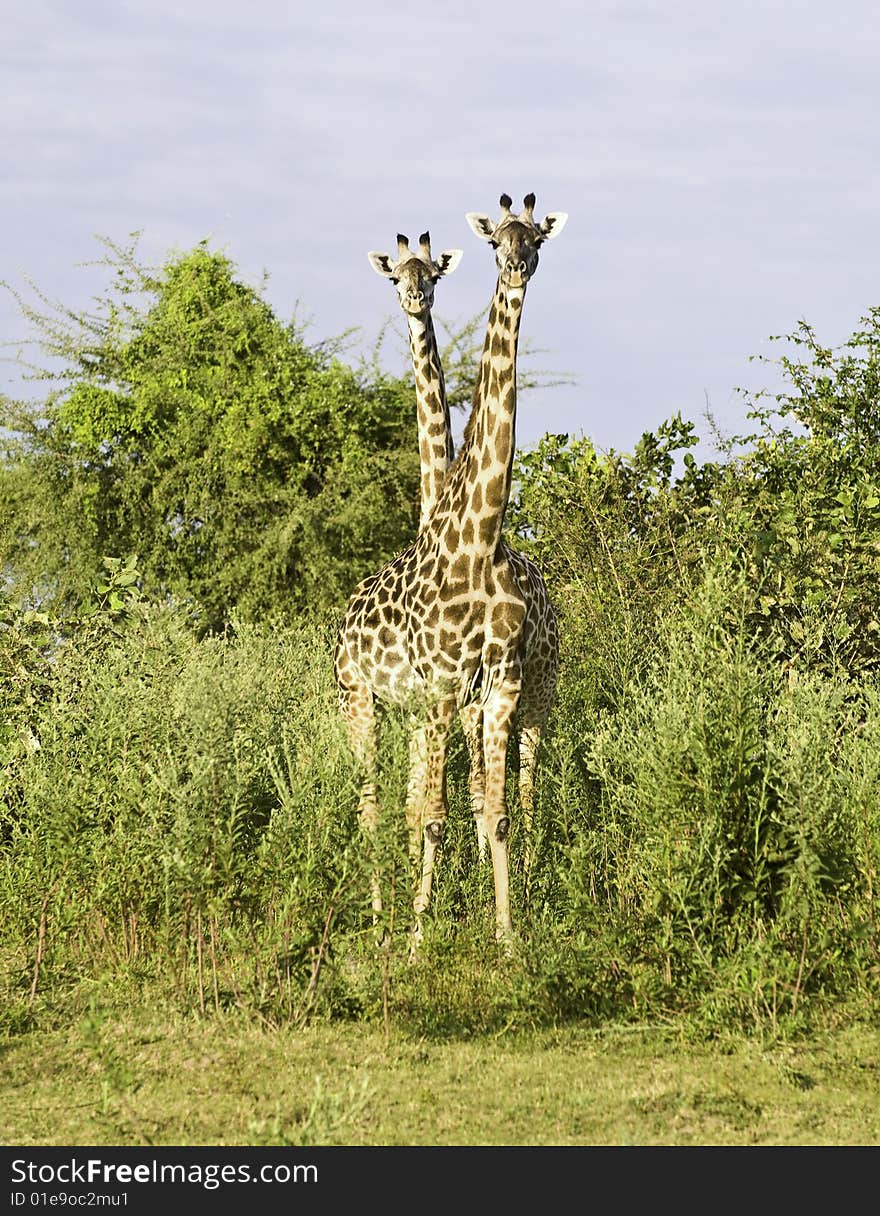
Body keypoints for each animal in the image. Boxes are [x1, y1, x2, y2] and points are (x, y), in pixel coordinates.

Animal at [333, 192, 566, 938]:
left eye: (536, 240)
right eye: (497, 242)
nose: (517, 266)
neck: (477, 538)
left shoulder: (497, 684)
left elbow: (489, 811)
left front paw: (507, 937)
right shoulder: (438, 689)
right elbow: (433, 815)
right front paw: (417, 936)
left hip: (534, 689)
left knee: (522, 785)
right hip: (360, 700)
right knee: (373, 803)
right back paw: (381, 917)